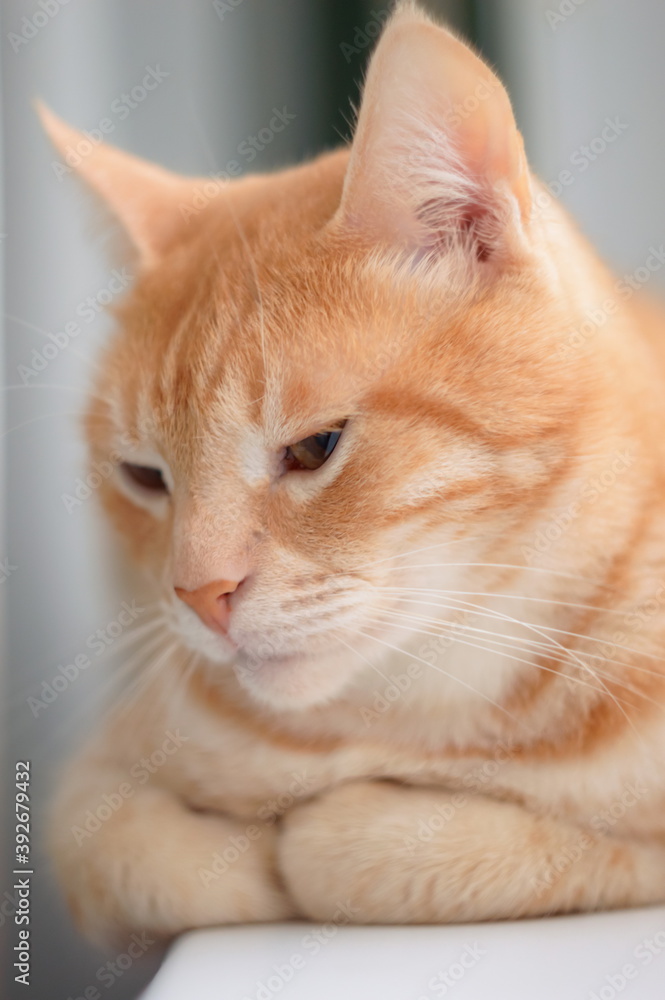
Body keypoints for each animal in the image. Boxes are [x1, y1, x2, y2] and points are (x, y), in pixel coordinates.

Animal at [40, 0, 664, 944]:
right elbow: (119, 850)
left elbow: (378, 853)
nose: (200, 594)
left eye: (314, 448)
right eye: (145, 477)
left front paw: (334, 837)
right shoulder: (100, 778)